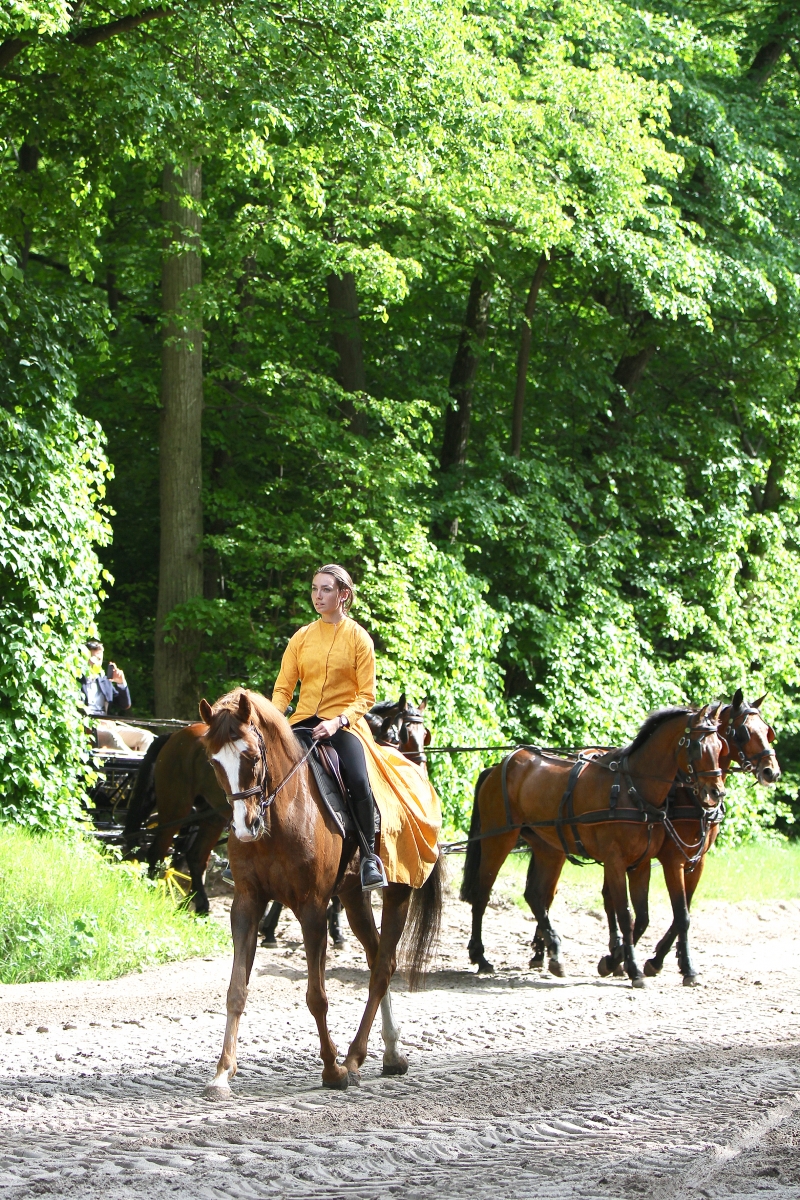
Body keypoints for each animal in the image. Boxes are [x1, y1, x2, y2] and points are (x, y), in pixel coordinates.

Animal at [199, 688, 444, 1095]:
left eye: (252, 757)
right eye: (214, 761)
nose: (246, 827)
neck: (281, 811)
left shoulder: (312, 908)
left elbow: (317, 996)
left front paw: (332, 1070)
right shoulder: (246, 903)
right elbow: (236, 990)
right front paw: (222, 1073)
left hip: (397, 893)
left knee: (382, 969)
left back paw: (354, 1058)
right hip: (354, 896)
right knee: (379, 959)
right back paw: (390, 1053)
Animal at [460, 706, 725, 987]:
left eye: (720, 746)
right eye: (697, 746)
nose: (717, 792)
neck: (633, 790)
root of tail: (498, 767)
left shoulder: (641, 864)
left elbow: (642, 916)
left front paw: (616, 961)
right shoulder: (619, 862)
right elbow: (626, 915)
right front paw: (632, 969)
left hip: (548, 848)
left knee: (535, 896)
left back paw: (554, 952)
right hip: (498, 840)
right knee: (482, 894)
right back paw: (480, 956)